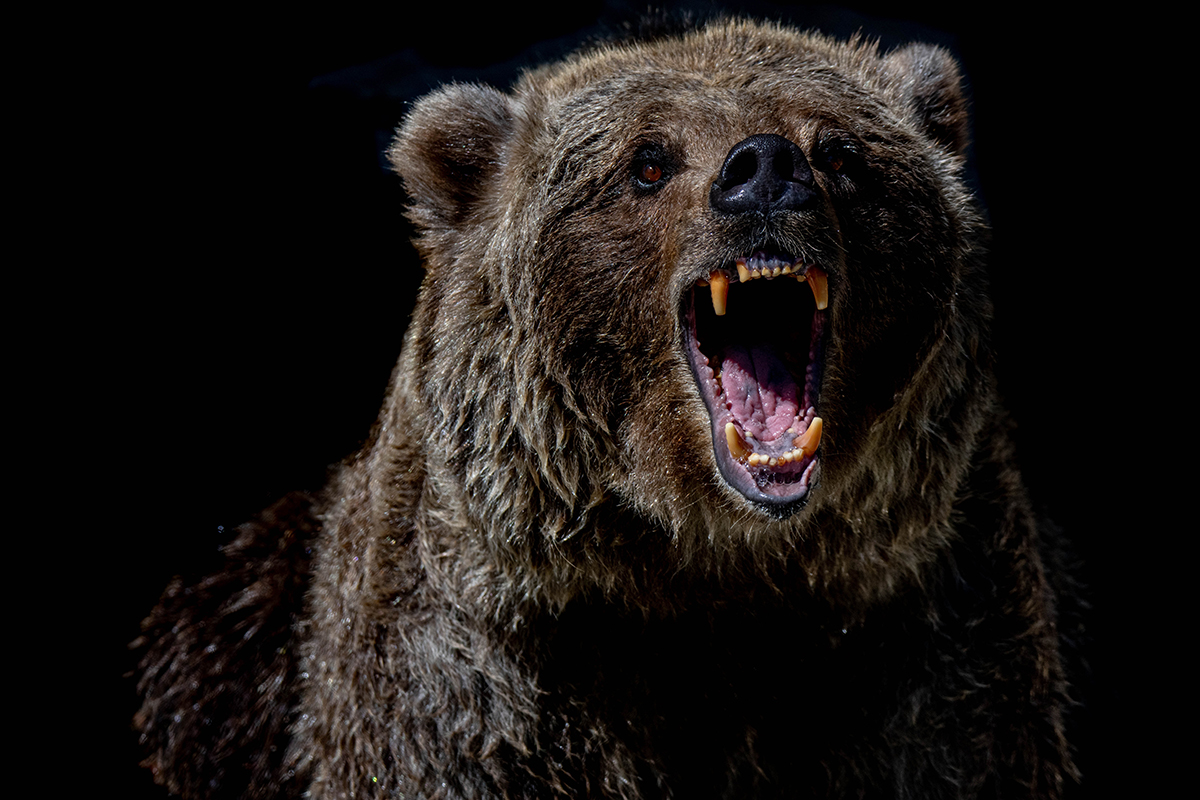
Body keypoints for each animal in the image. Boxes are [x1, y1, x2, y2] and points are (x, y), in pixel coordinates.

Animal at [135, 18, 1080, 799]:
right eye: (648, 162)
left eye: (841, 151)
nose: (765, 170)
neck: (709, 573)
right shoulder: (478, 687)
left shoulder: (924, 654)